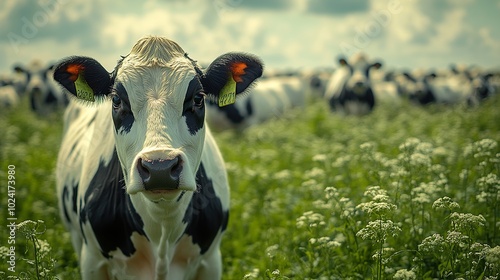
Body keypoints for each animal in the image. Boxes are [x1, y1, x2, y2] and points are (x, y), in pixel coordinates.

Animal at [53, 36, 264, 278]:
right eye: (116, 100)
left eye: (198, 99)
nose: (159, 168)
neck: (162, 227)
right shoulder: (92, 261)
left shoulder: (211, 260)